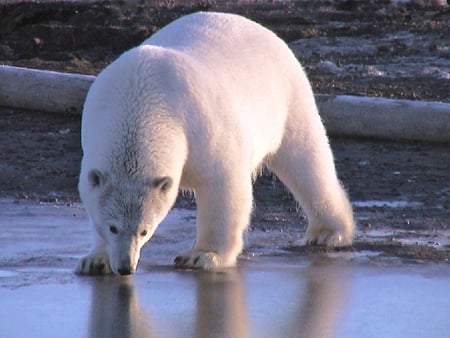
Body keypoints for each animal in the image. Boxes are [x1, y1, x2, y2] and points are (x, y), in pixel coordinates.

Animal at [74, 11, 356, 276]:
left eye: (145, 230)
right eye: (112, 227)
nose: (125, 267)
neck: (142, 99)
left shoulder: (200, 124)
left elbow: (222, 184)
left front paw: (202, 256)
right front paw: (95, 260)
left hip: (288, 100)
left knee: (306, 160)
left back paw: (329, 232)